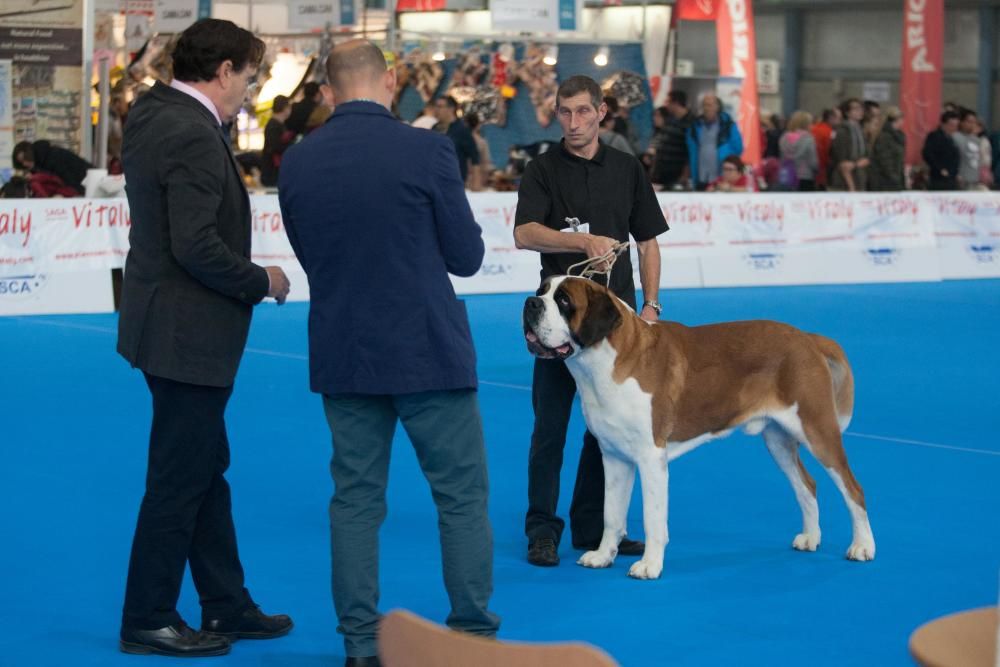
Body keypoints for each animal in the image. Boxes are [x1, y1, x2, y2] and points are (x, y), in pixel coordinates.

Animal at [524, 276, 876, 580]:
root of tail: (807, 337)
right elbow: (612, 514)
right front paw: (602, 555)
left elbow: (653, 517)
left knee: (853, 488)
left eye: (564, 301)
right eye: (542, 290)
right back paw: (811, 537)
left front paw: (650, 565)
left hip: (818, 430)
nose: (531, 302)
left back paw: (862, 546)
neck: (604, 360)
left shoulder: (651, 458)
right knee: (807, 486)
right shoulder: (614, 457)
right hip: (778, 440)